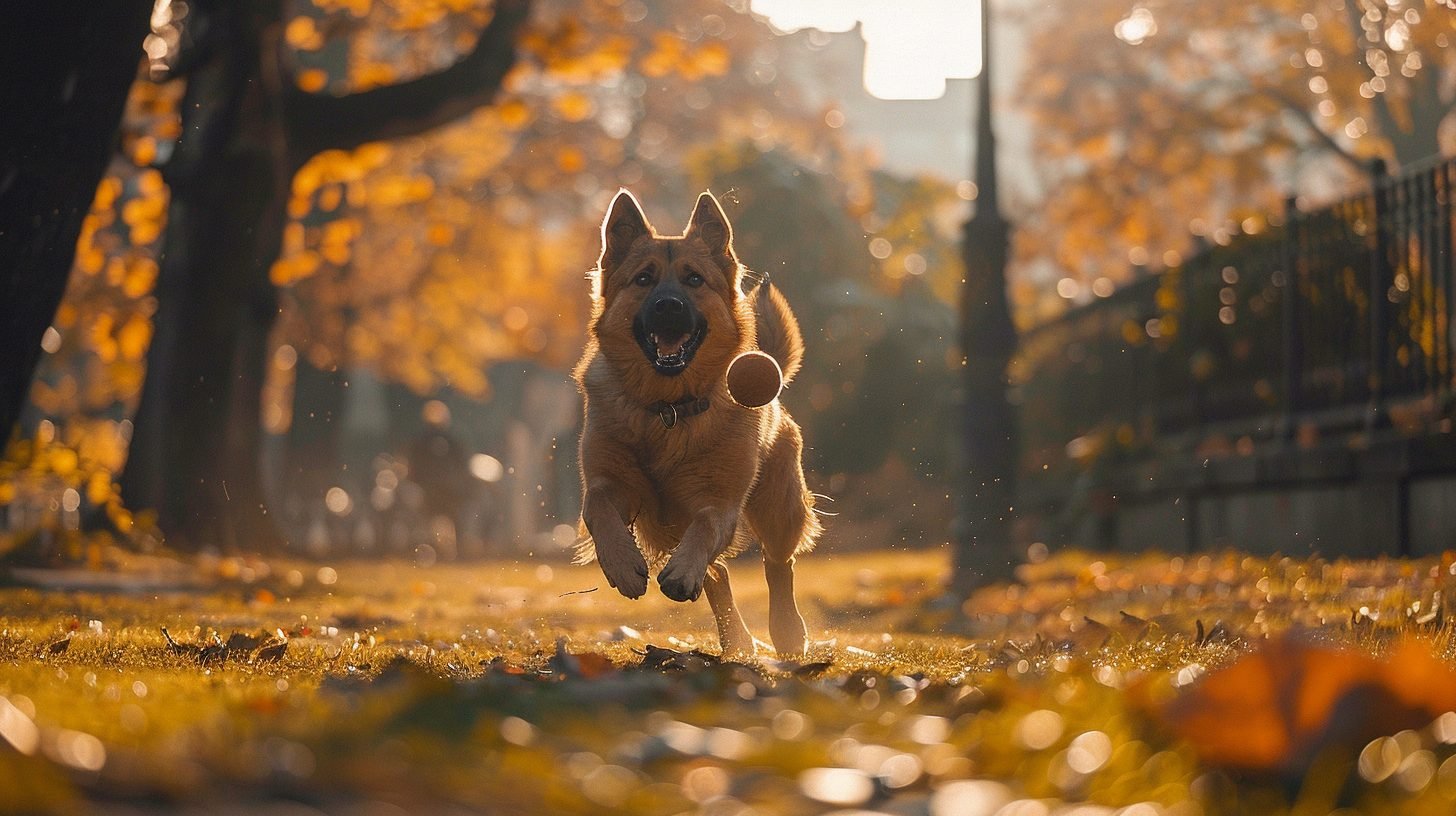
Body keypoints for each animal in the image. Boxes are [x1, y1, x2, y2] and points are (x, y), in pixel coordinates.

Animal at [567, 189, 821, 655]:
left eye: (694, 280)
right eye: (643, 279)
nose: (668, 306)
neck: (667, 409)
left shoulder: (719, 501)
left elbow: (707, 526)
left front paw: (681, 572)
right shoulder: (609, 483)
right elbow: (596, 509)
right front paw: (624, 566)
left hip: (779, 508)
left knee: (778, 564)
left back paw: (786, 631)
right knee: (718, 575)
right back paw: (735, 638)